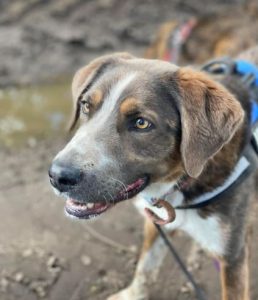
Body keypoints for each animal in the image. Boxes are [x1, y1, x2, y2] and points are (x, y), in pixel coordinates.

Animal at [48, 47, 258, 300]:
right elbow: (146, 265)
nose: (58, 176)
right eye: (86, 106)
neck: (182, 183)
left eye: (141, 123)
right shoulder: (155, 220)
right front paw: (131, 295)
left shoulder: (233, 257)